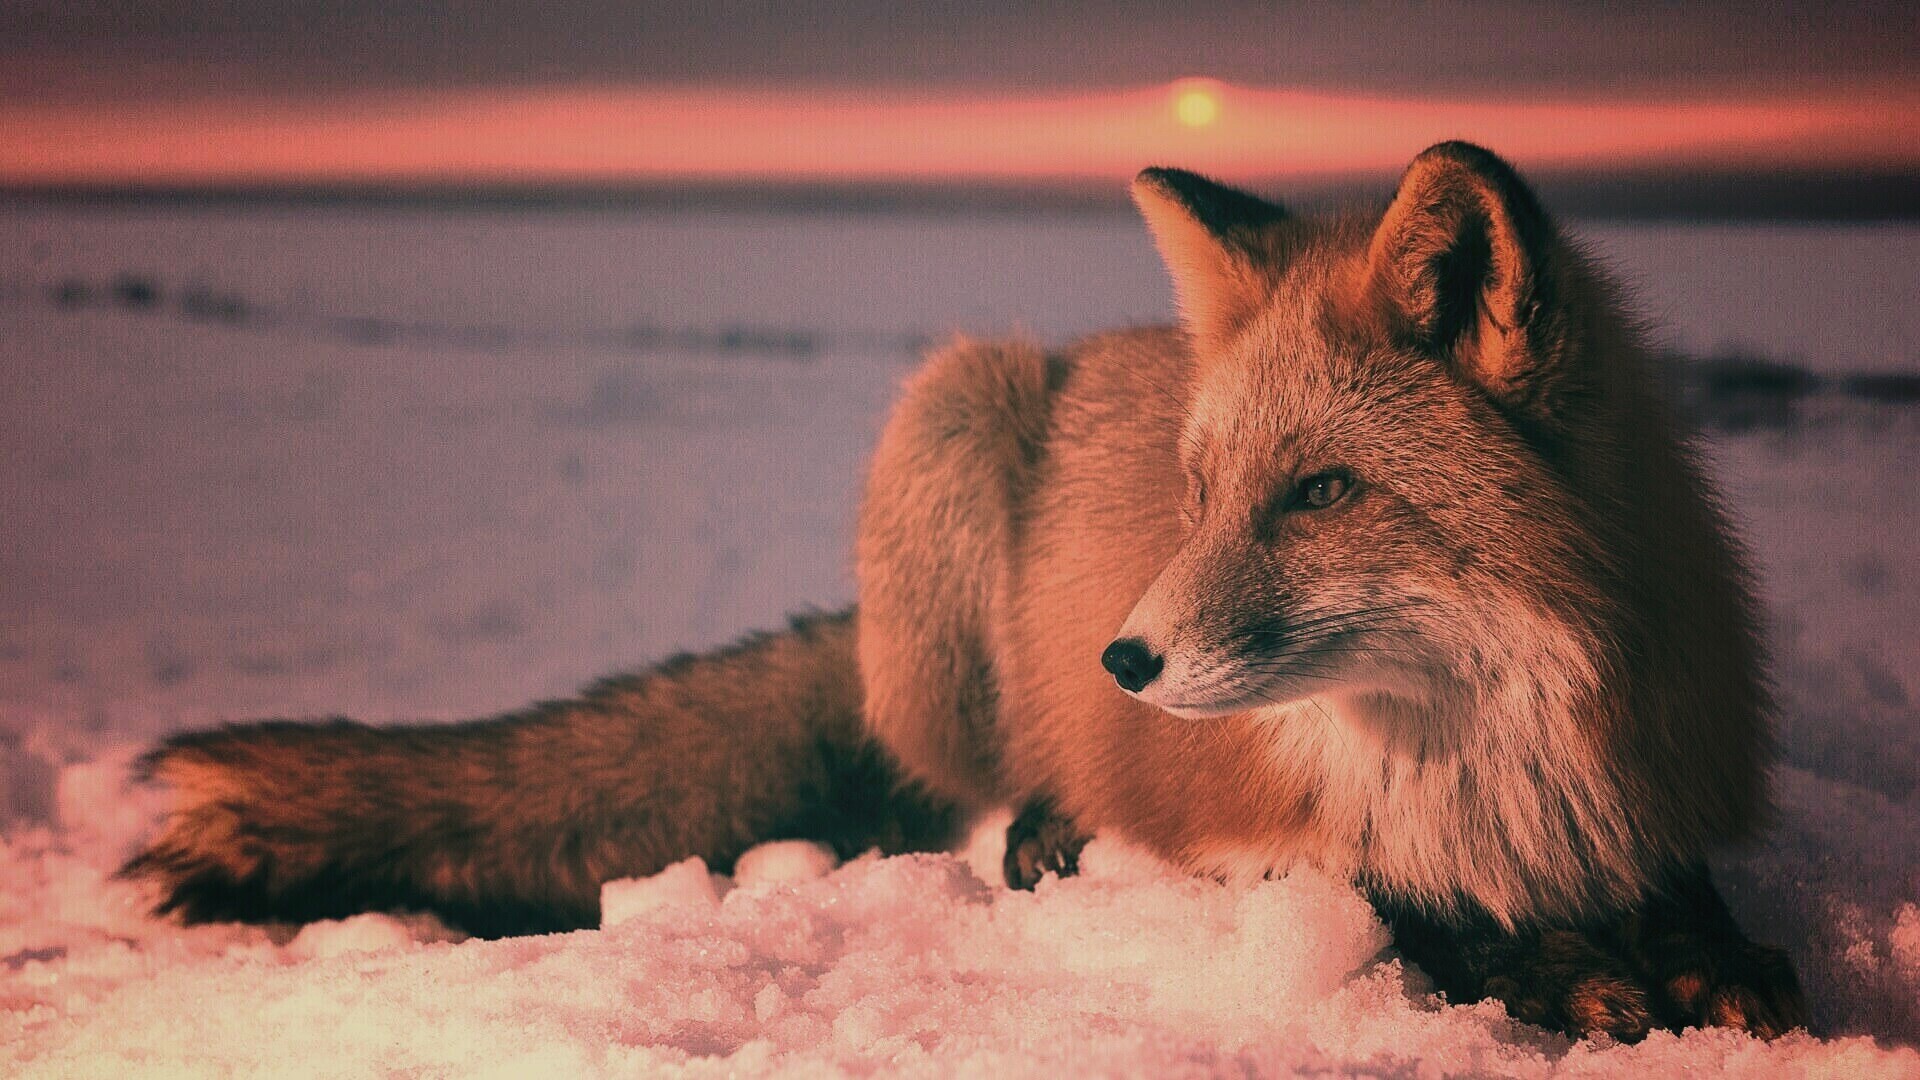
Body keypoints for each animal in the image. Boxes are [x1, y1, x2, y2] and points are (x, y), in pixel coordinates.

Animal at [123, 142, 1805, 1041]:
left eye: (1323, 491)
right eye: (1199, 494)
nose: (1124, 661)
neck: (1479, 760)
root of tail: (1097, 346)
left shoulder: (1649, 787)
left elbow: (1689, 905)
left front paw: (1701, 965)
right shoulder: (1238, 832)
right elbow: (1399, 912)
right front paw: (1562, 977)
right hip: (951, 415)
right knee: (971, 792)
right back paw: (1039, 827)